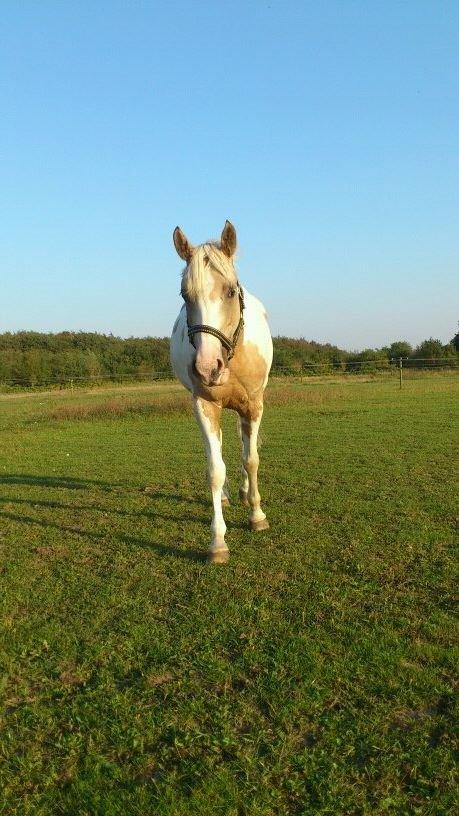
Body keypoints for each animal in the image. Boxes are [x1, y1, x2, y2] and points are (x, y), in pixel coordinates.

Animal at [172, 220, 274, 564]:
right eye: (185, 294)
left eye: (230, 291)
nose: (207, 367)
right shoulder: (204, 405)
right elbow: (215, 470)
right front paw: (218, 541)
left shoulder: (253, 405)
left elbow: (251, 459)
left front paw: (257, 516)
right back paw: (230, 495)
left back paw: (244, 494)